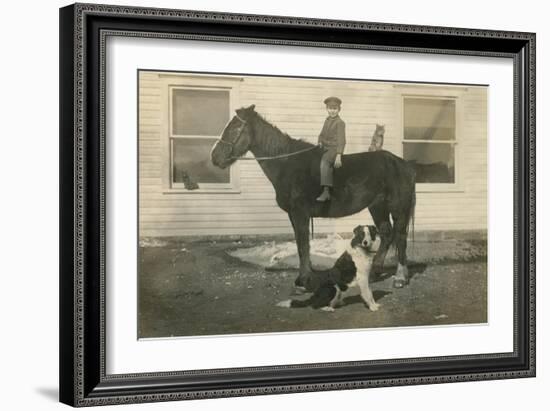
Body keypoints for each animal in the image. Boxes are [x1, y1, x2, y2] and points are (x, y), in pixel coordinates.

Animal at [212, 106, 418, 290]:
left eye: (235, 128)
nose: (215, 157)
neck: (287, 163)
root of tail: (403, 164)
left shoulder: (300, 213)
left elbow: (303, 245)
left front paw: (304, 280)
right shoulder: (293, 215)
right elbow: (301, 244)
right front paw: (304, 277)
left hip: (397, 208)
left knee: (400, 237)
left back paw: (400, 277)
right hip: (377, 206)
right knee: (386, 234)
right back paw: (375, 272)